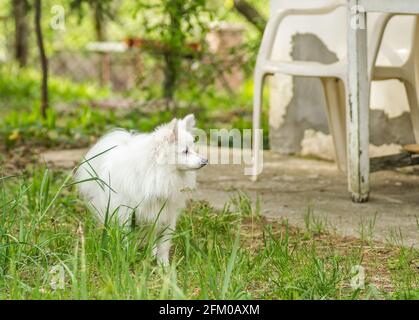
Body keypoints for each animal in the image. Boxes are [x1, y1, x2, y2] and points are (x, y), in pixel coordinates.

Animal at [76, 114, 208, 264]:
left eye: (194, 149)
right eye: (185, 151)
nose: (205, 161)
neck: (159, 174)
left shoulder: (167, 215)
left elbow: (164, 244)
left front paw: (164, 265)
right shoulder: (127, 213)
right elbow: (127, 236)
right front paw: (127, 257)